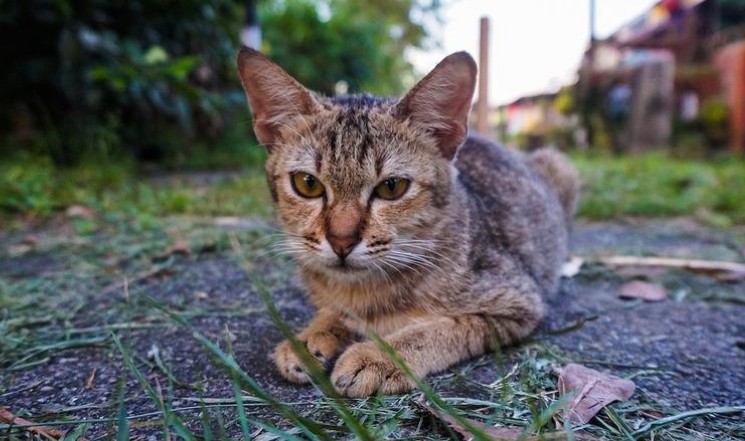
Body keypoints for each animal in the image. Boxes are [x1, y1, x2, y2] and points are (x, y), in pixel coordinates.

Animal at [235, 47, 580, 396]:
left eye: (392, 187)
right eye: (307, 184)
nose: (341, 241)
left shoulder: (516, 303)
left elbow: (440, 328)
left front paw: (378, 356)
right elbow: (333, 312)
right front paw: (309, 338)